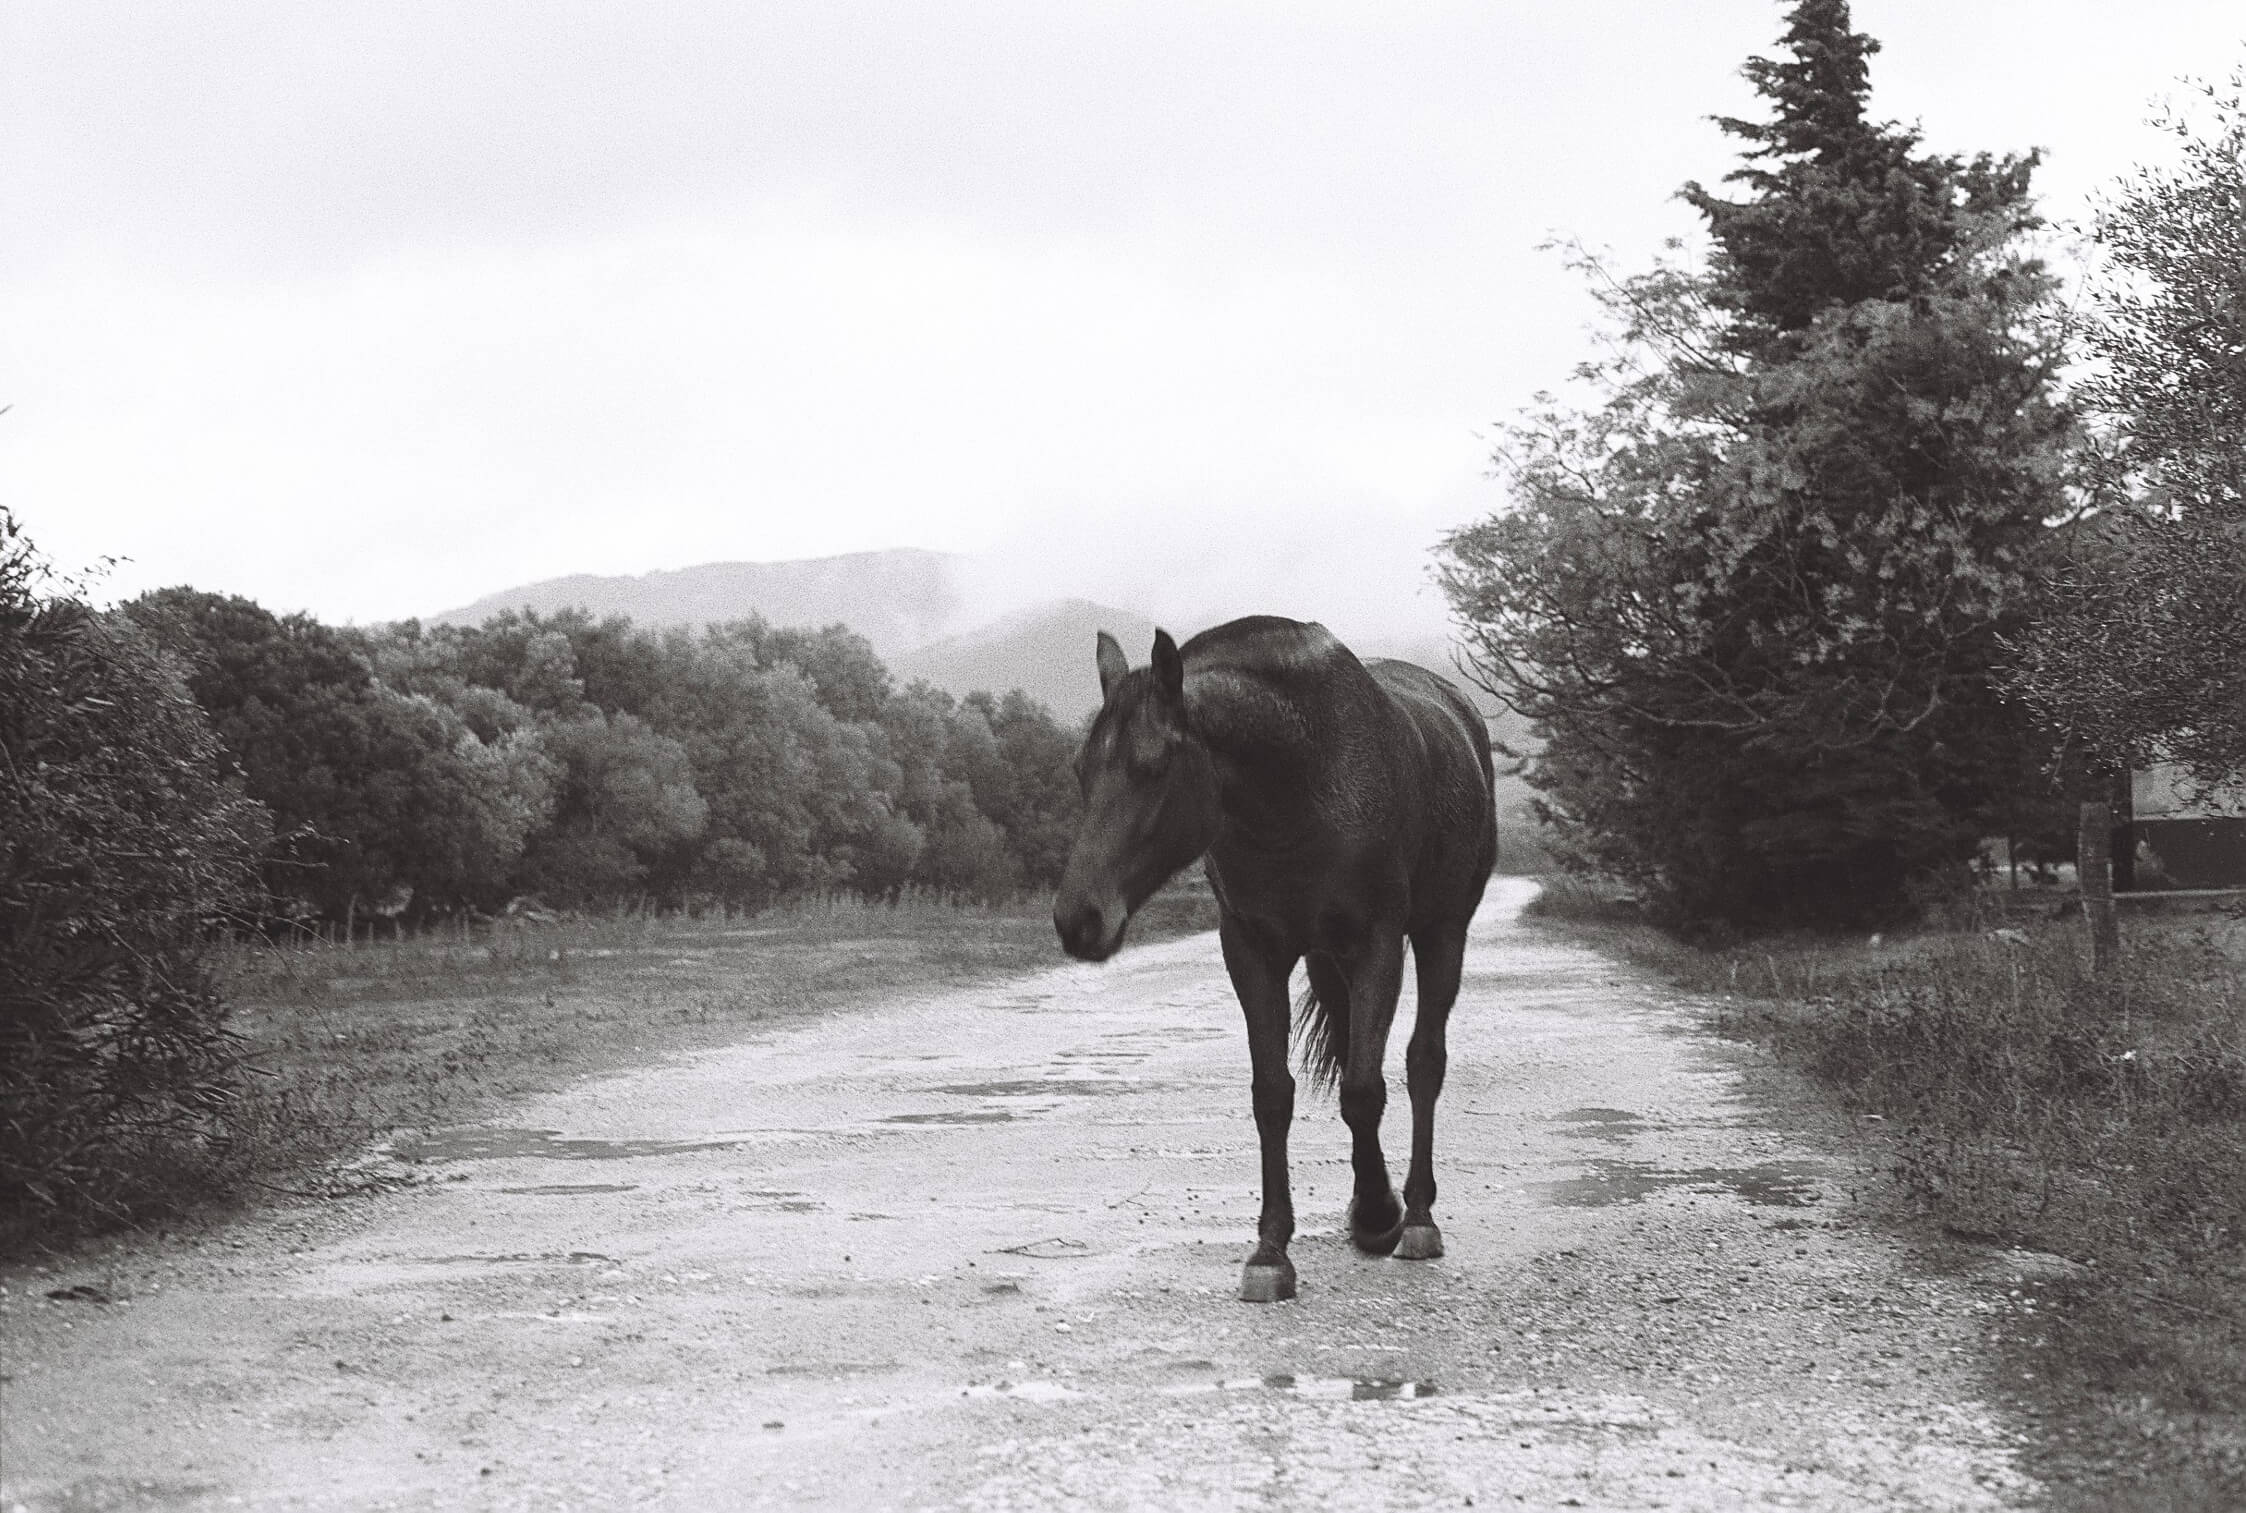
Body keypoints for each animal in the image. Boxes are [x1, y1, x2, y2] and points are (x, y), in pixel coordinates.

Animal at [1053, 617, 1497, 1302]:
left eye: (1155, 765)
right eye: (1080, 768)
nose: (1079, 920)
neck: (1301, 778)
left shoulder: (1377, 943)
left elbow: (1364, 1089)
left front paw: (1380, 1216)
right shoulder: (1253, 950)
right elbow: (1273, 1095)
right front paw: (1271, 1250)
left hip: (1442, 932)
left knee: (1424, 1063)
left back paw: (1418, 1217)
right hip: (1325, 959)